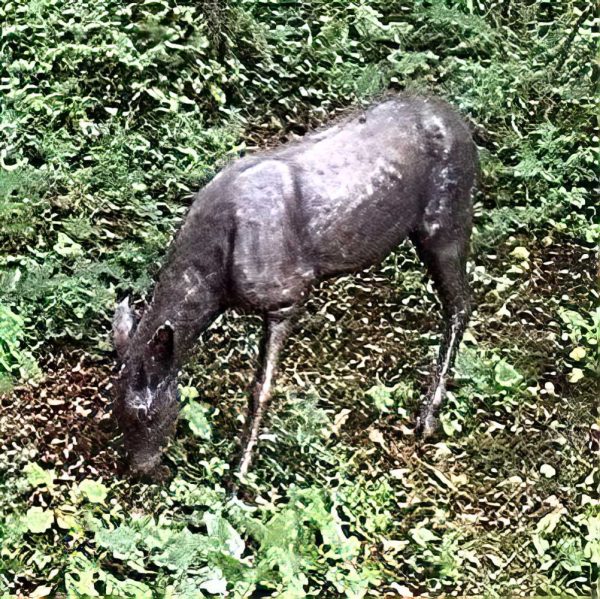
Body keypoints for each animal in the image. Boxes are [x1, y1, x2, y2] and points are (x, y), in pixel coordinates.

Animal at [112, 96, 478, 480]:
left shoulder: (286, 295)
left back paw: (428, 418)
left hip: (447, 218)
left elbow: (261, 389)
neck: (216, 281)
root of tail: (460, 124)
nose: (142, 470)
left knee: (461, 303)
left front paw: (238, 476)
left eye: (146, 414)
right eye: (115, 412)